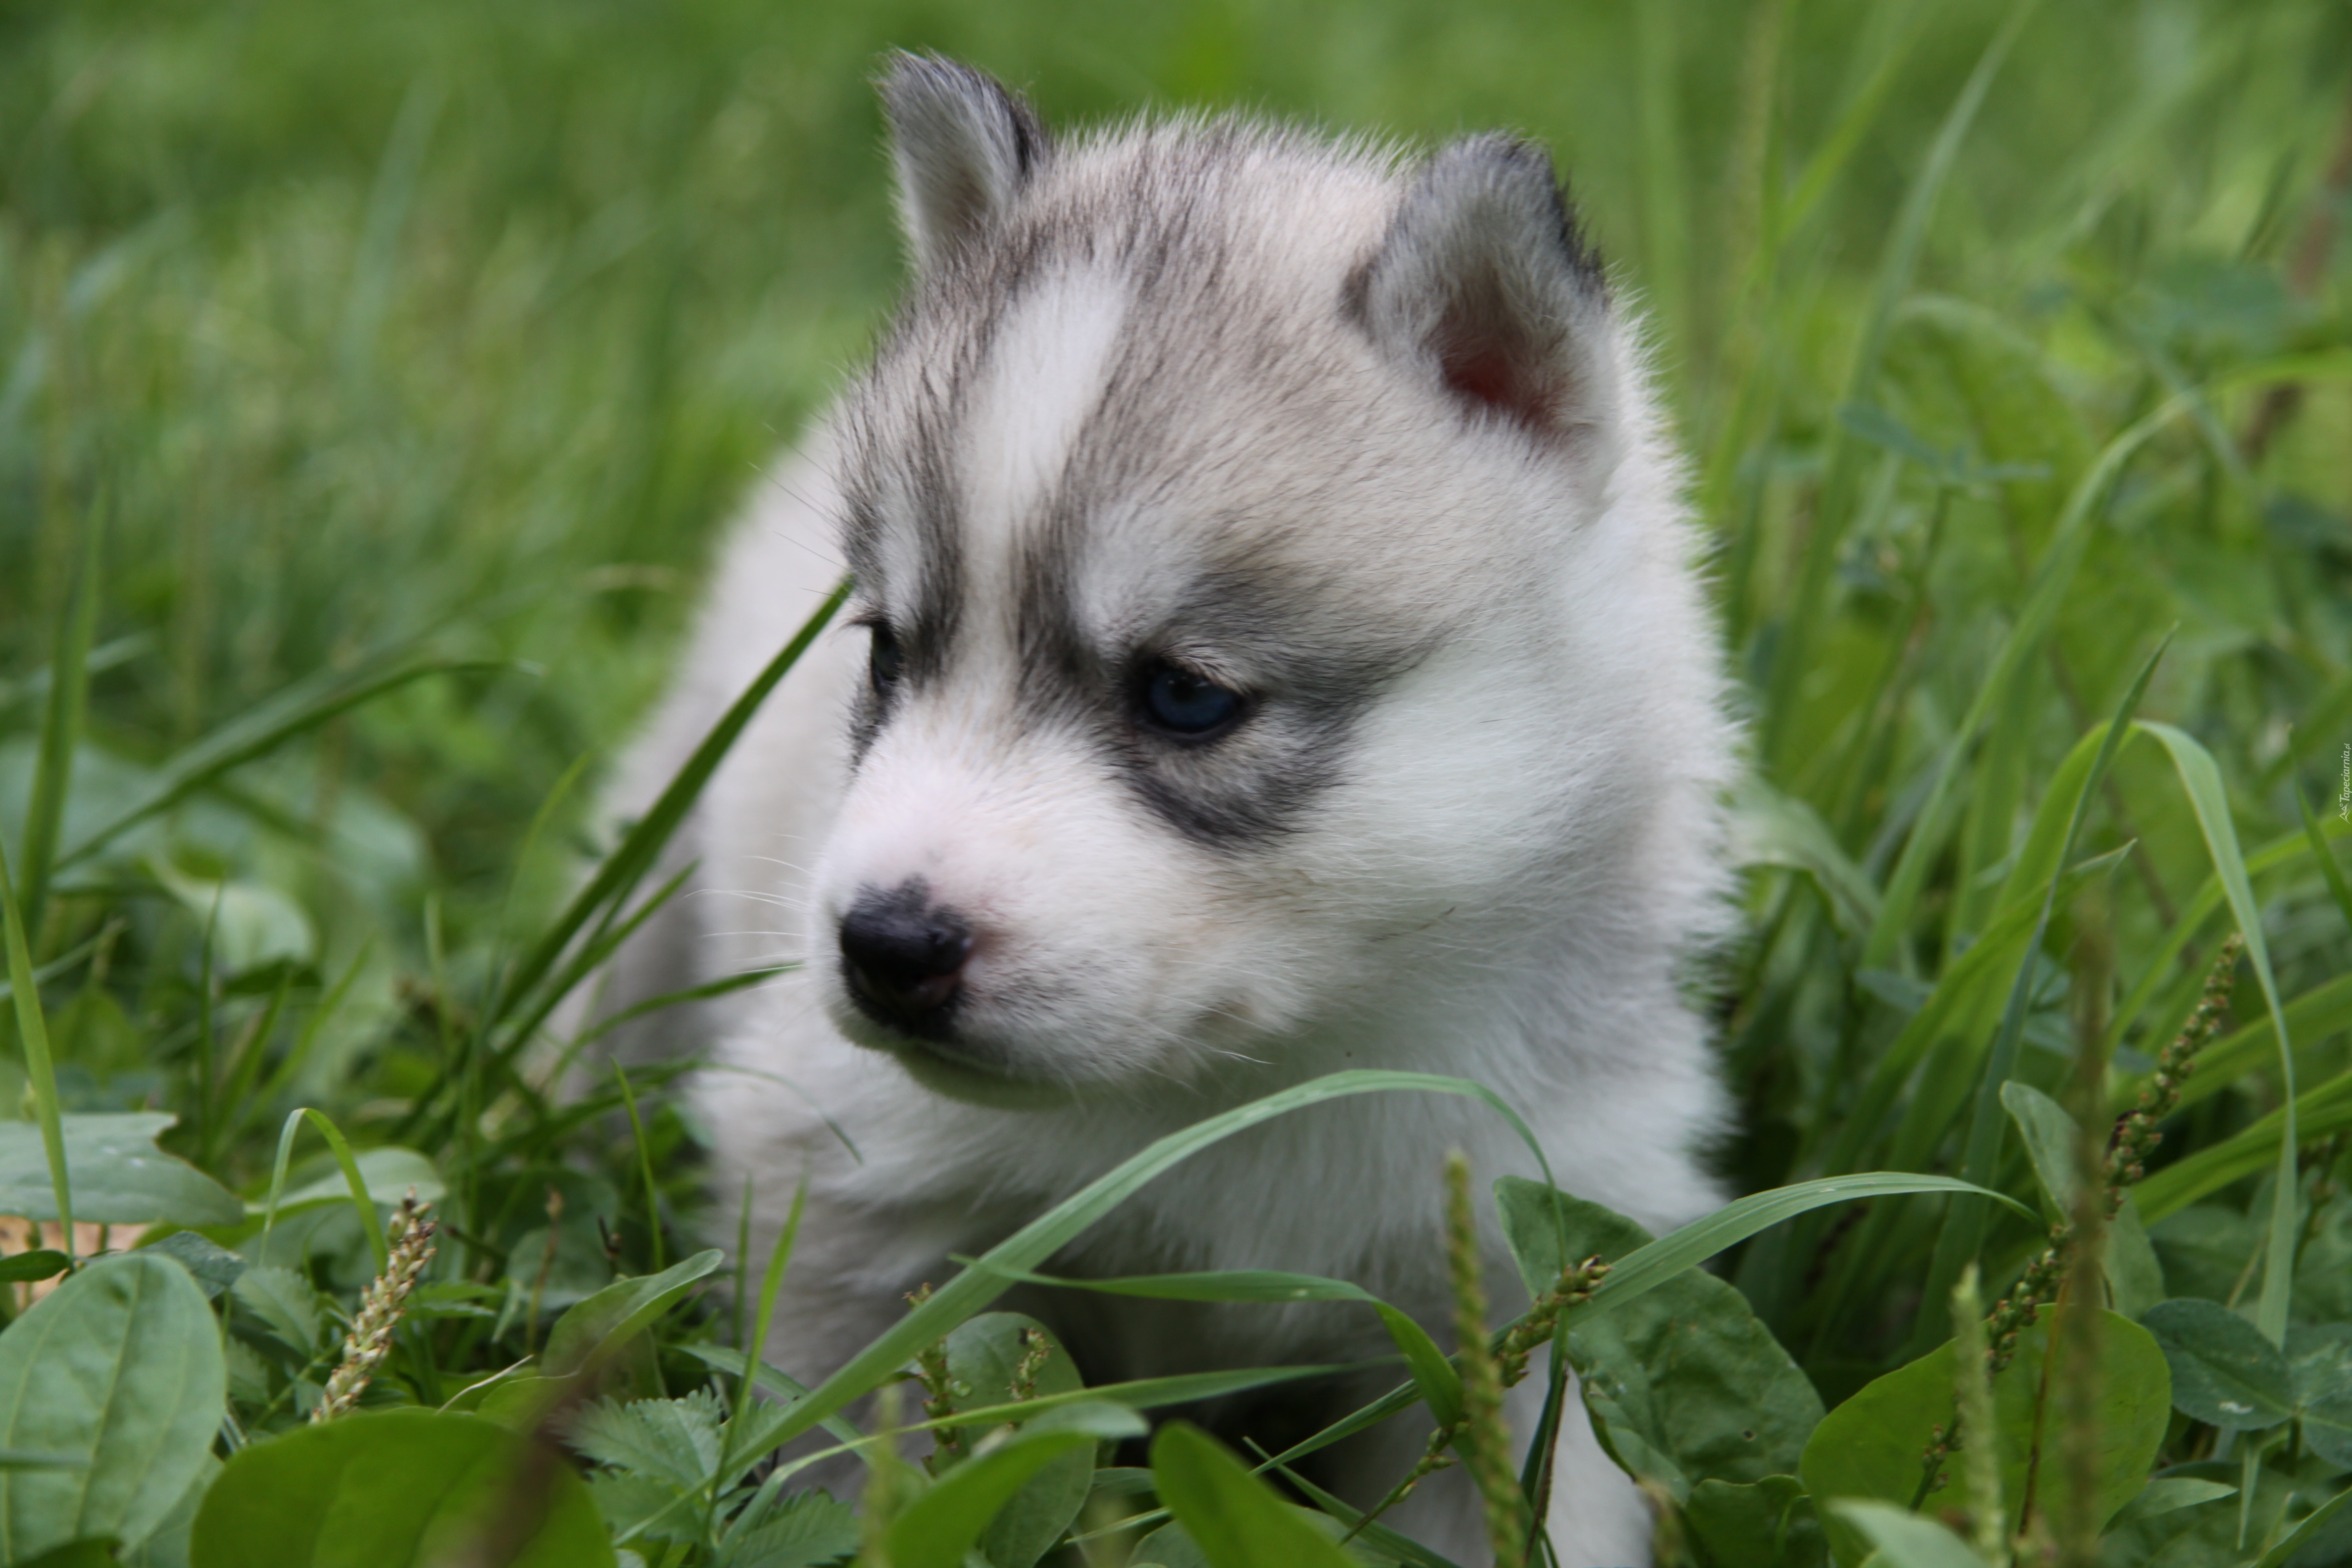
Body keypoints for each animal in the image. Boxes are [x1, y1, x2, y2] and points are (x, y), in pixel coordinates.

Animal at [602, 55, 1750, 1561]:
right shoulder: (844, 1195)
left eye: (1186, 697)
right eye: (888, 651)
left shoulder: (1529, 1287)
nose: (885, 945)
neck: (1255, 1080)